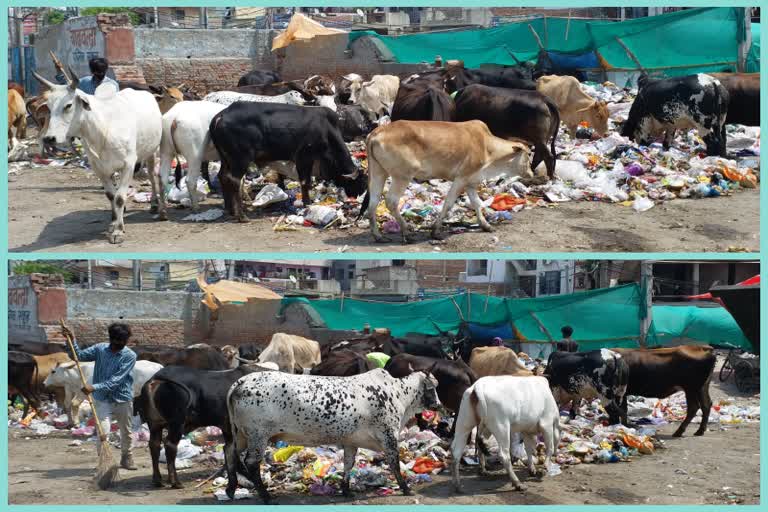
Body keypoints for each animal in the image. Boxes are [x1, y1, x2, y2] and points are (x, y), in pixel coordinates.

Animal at [135, 364, 272, 488]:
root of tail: (156, 378)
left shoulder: (227, 427)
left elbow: (230, 448)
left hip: (154, 424)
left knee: (154, 445)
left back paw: (157, 480)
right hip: (176, 423)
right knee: (170, 445)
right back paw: (175, 482)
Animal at [208, 103, 368, 221]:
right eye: (361, 182)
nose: (357, 198)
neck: (327, 130)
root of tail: (221, 115)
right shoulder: (304, 157)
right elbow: (305, 182)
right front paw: (307, 203)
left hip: (226, 158)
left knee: (223, 177)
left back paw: (229, 209)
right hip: (240, 159)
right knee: (234, 181)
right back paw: (241, 216)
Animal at [224, 366, 438, 502]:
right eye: (433, 388)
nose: (437, 404)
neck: (399, 394)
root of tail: (241, 381)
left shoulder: (351, 442)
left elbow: (348, 464)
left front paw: (346, 490)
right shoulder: (389, 436)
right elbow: (395, 464)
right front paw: (406, 489)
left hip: (241, 435)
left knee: (229, 451)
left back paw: (231, 489)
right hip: (258, 435)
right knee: (251, 463)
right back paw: (266, 496)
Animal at [358, 120, 528, 242]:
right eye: (529, 154)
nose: (531, 172)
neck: (487, 147)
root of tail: (377, 131)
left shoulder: (470, 182)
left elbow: (477, 203)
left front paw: (486, 225)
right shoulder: (462, 178)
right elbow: (448, 204)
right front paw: (435, 231)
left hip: (379, 173)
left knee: (373, 203)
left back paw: (378, 236)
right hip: (402, 176)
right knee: (391, 201)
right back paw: (406, 232)